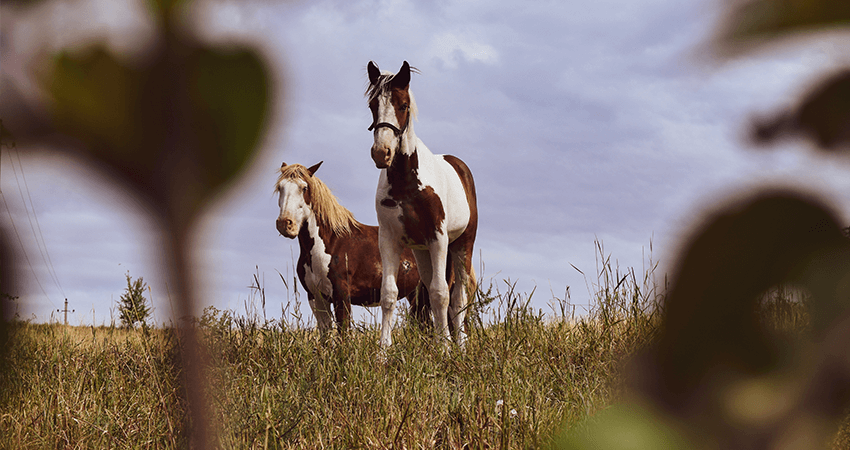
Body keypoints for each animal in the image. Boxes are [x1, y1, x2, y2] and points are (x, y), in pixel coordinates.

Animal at [274, 162, 428, 334]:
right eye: (280, 187)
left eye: (304, 188)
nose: (285, 224)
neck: (331, 243)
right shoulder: (316, 297)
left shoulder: (341, 296)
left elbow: (344, 333)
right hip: (415, 294)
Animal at [362, 60, 476, 348]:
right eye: (372, 105)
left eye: (403, 105)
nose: (381, 153)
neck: (407, 183)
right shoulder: (389, 240)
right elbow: (389, 294)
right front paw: (383, 351)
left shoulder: (439, 238)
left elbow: (440, 294)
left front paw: (445, 350)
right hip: (423, 253)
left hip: (462, 245)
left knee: (457, 296)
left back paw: (460, 346)